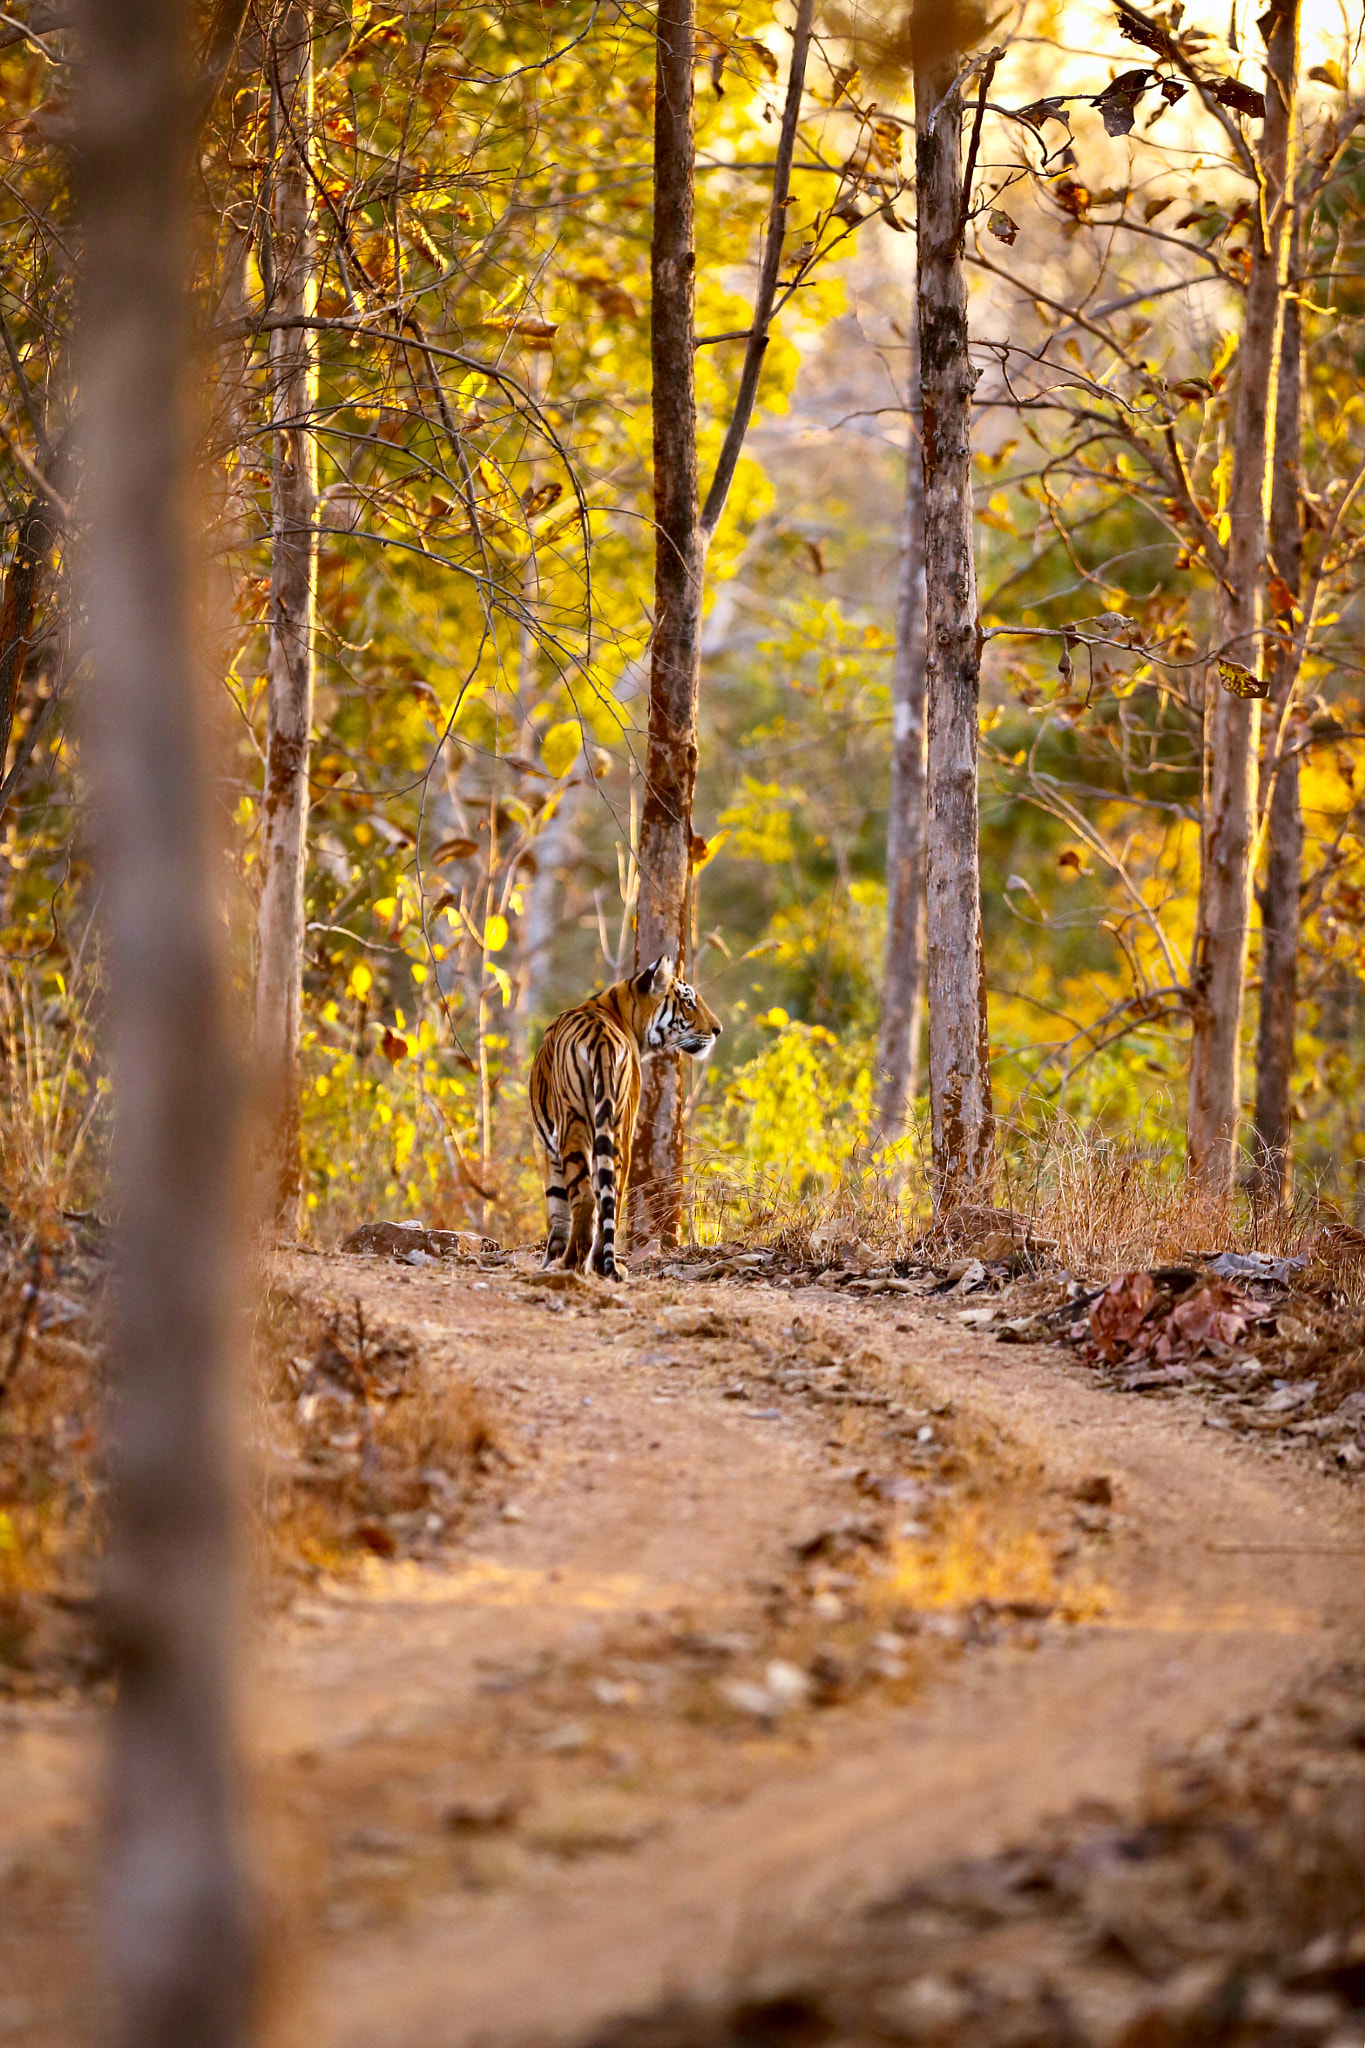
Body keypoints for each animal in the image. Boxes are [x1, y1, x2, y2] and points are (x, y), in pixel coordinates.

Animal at [532, 954, 724, 1277]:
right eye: (688, 1002)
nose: (717, 1030)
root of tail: (600, 1036)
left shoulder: (550, 1148)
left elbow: (557, 1207)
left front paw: (550, 1259)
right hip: (617, 1125)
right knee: (611, 1195)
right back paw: (600, 1265)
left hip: (576, 1122)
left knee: (586, 1196)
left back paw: (570, 1263)